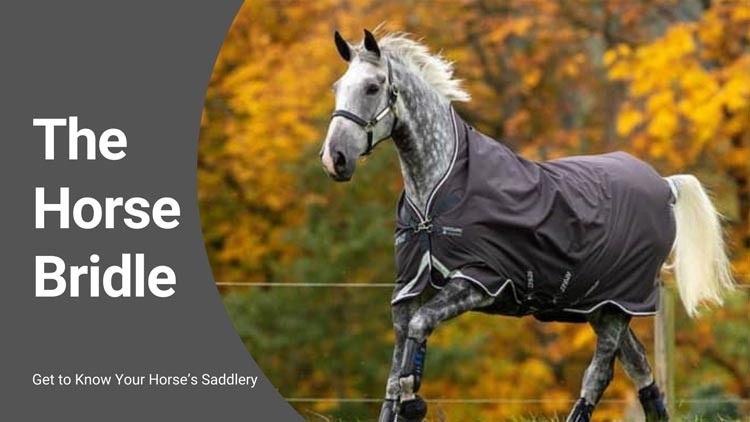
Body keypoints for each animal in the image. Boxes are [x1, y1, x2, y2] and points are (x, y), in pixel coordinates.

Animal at [319, 29, 735, 422]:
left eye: (372, 87)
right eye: (338, 87)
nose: (334, 159)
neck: (436, 198)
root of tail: (665, 184)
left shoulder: (477, 282)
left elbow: (417, 338)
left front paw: (413, 403)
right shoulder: (408, 289)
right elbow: (393, 374)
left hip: (619, 304)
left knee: (599, 374)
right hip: (602, 305)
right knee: (639, 364)